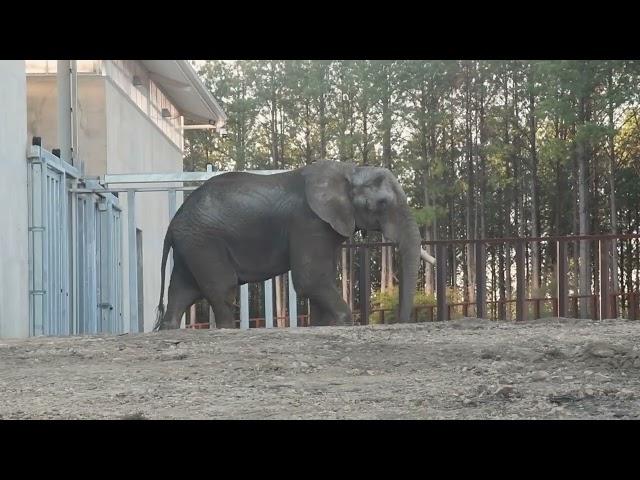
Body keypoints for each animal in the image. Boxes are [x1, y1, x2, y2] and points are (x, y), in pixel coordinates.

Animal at [152, 160, 428, 330]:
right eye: (382, 203)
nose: (400, 321)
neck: (350, 170)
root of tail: (173, 222)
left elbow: (320, 278)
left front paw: (320, 326)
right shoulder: (309, 222)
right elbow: (311, 279)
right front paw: (342, 322)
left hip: (191, 245)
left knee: (182, 291)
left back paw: (169, 329)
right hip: (204, 242)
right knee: (223, 289)